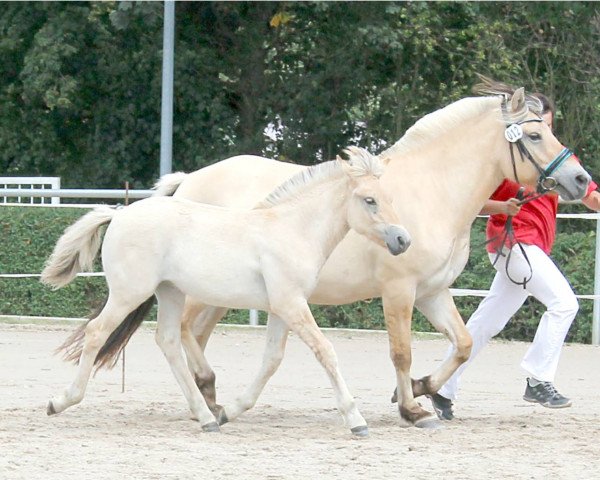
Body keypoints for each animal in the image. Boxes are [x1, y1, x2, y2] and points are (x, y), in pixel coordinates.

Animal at [41, 146, 408, 436]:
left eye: (390, 198)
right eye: (370, 200)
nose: (403, 240)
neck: (292, 230)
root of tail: (119, 214)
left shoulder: (282, 308)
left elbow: (272, 360)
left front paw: (231, 411)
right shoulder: (292, 305)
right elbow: (326, 352)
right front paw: (356, 420)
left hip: (169, 293)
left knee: (168, 341)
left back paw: (207, 417)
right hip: (129, 293)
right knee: (97, 332)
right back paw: (60, 401)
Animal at [155, 81, 592, 428]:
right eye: (534, 136)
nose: (581, 180)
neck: (433, 191)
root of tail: (190, 180)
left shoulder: (432, 292)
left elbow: (463, 343)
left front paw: (420, 389)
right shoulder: (399, 290)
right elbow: (401, 352)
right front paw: (412, 409)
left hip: (224, 294)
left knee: (194, 334)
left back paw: (210, 402)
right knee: (184, 331)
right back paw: (208, 393)